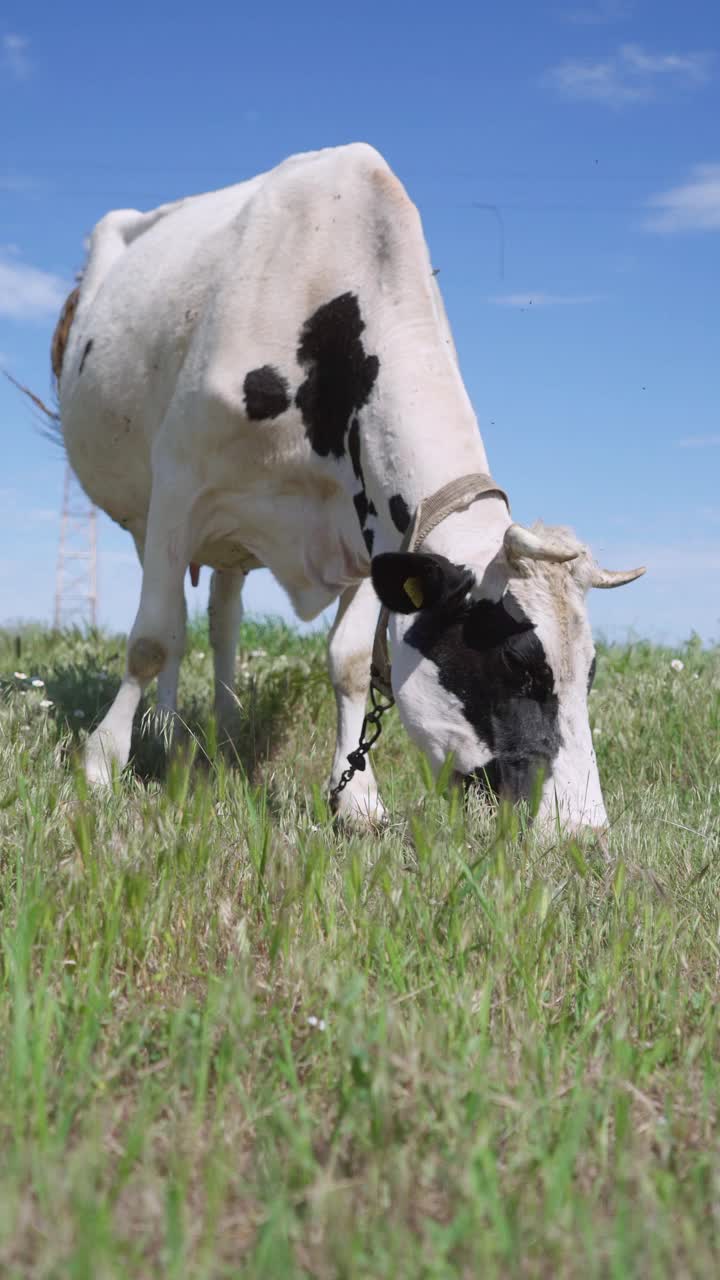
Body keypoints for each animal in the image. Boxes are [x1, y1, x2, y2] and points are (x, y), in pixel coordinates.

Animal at [53, 142, 640, 829]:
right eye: (516, 663)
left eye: (590, 672)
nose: (582, 829)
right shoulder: (178, 483)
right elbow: (150, 638)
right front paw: (101, 765)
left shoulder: (375, 527)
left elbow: (352, 663)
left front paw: (356, 797)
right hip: (151, 515)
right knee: (172, 622)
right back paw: (167, 734)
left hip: (231, 536)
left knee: (224, 616)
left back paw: (223, 735)